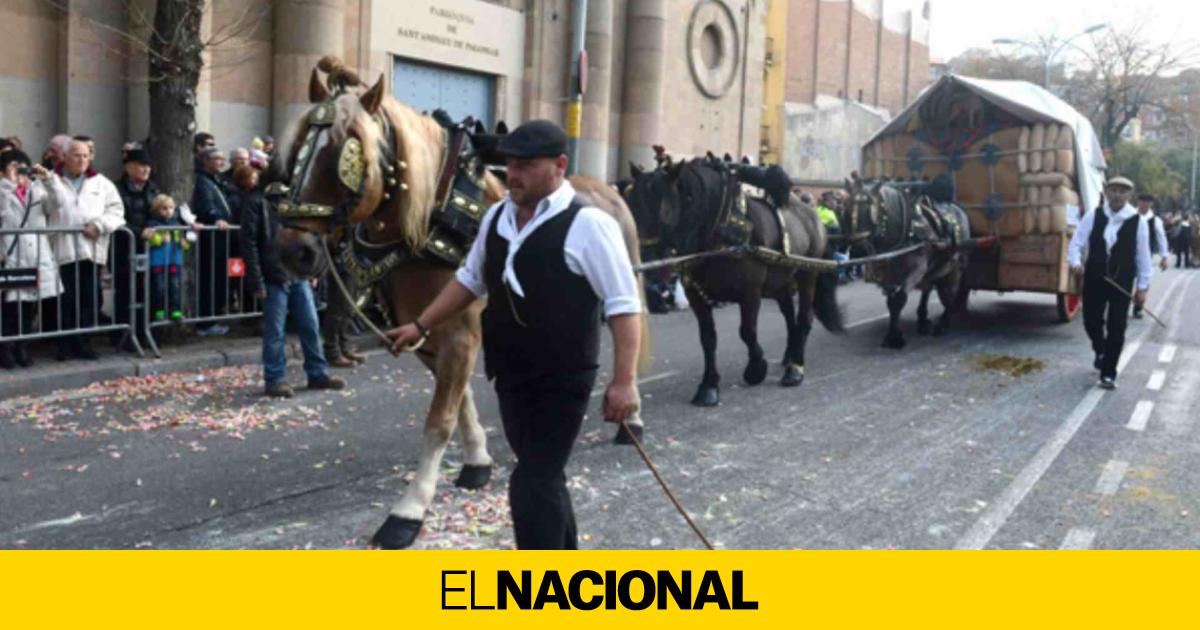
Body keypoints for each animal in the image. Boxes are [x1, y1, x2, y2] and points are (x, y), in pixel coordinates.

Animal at [271, 60, 652, 549]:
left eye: (346, 154)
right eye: (297, 151)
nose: (293, 252)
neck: (430, 219)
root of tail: (608, 190)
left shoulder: (460, 332)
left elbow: (439, 420)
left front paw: (409, 510)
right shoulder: (427, 331)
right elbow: (461, 399)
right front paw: (477, 461)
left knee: (627, 340)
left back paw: (630, 418)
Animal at [628, 154, 844, 405]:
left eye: (664, 211)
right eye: (632, 206)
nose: (643, 262)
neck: (720, 230)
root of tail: (813, 216)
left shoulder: (750, 292)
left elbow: (747, 331)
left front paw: (756, 368)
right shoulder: (696, 295)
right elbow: (708, 338)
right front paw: (709, 385)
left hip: (807, 274)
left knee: (804, 318)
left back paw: (795, 368)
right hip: (780, 283)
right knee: (789, 316)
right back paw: (789, 356)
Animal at [844, 172, 974, 348]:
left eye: (872, 210)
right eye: (848, 207)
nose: (858, 251)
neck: (907, 231)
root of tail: (957, 207)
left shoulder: (917, 270)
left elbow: (899, 299)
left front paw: (895, 337)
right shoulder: (888, 274)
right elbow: (891, 302)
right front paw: (893, 333)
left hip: (955, 265)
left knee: (951, 291)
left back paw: (943, 322)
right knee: (928, 288)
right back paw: (923, 319)